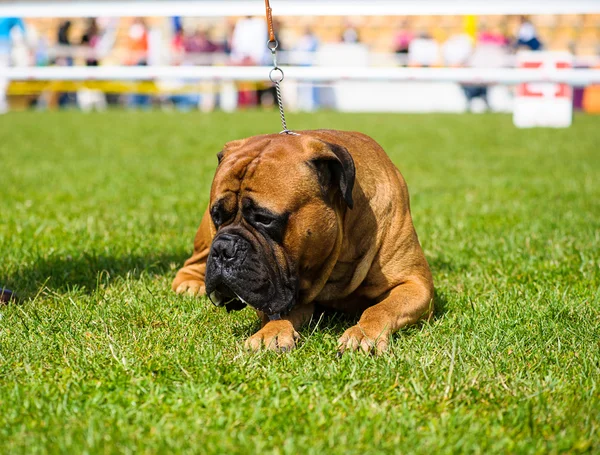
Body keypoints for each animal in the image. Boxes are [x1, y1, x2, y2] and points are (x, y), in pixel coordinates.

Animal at [171, 130, 434, 354]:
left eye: (265, 219)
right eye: (217, 216)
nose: (224, 248)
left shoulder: (415, 285)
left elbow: (379, 309)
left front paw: (362, 334)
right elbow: (277, 312)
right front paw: (271, 333)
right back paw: (190, 284)